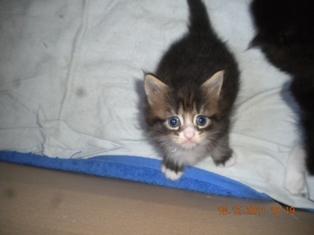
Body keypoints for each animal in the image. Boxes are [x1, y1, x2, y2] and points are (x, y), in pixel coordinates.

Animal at [144, 0, 239, 180]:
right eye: (174, 122)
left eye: (201, 120)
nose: (189, 134)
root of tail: (200, 34)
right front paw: (173, 164)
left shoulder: (223, 120)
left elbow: (221, 141)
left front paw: (224, 157)